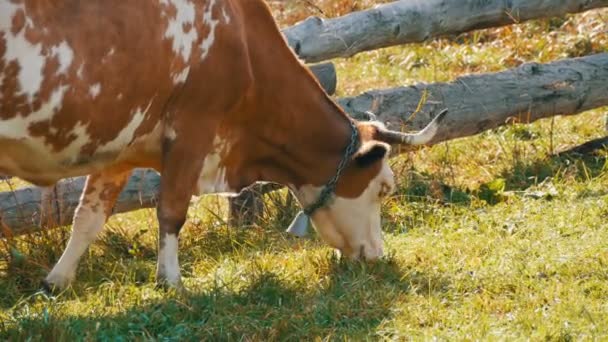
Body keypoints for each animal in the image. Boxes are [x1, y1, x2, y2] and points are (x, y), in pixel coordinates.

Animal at [0, 0, 446, 290]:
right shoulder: (193, 128)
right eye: (384, 188)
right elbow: (172, 211)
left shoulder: (121, 145)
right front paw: (171, 282)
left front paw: (57, 281)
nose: (376, 254)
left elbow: (88, 218)